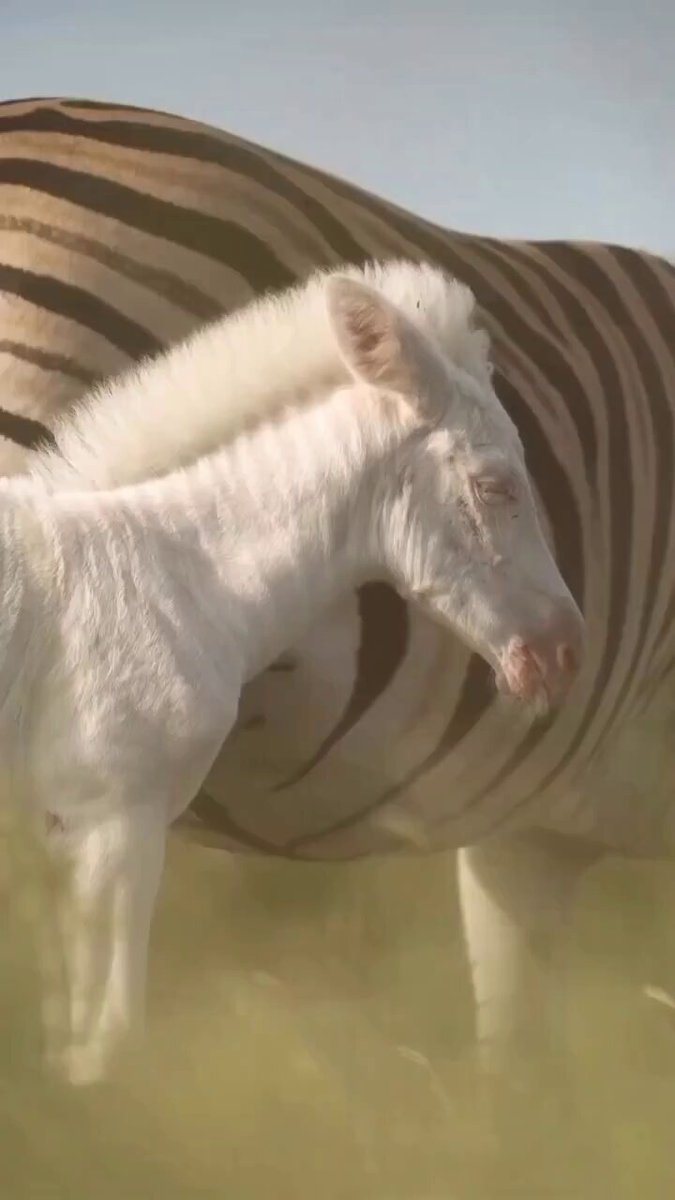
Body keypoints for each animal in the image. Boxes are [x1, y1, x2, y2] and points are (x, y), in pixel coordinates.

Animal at [0, 95, 673, 1081]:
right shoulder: (107, 817)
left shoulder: (528, 835)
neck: (160, 555)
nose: (567, 656)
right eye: (498, 486)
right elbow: (107, 1049)